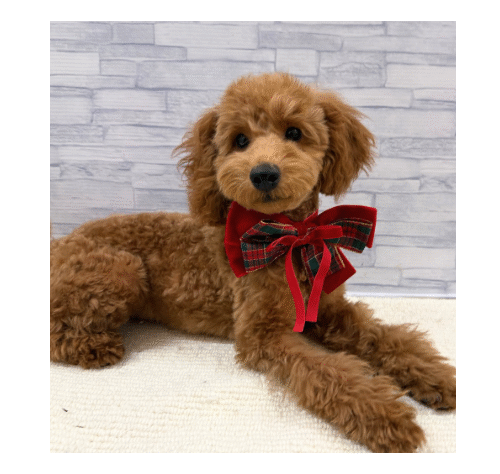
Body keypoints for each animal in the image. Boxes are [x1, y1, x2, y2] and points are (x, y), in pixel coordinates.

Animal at [50, 72, 456, 452]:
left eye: (294, 132)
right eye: (240, 140)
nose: (263, 173)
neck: (289, 238)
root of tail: (59, 242)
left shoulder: (329, 310)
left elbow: (387, 337)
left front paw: (437, 377)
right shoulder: (263, 335)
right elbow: (330, 370)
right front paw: (385, 415)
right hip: (121, 270)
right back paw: (95, 347)